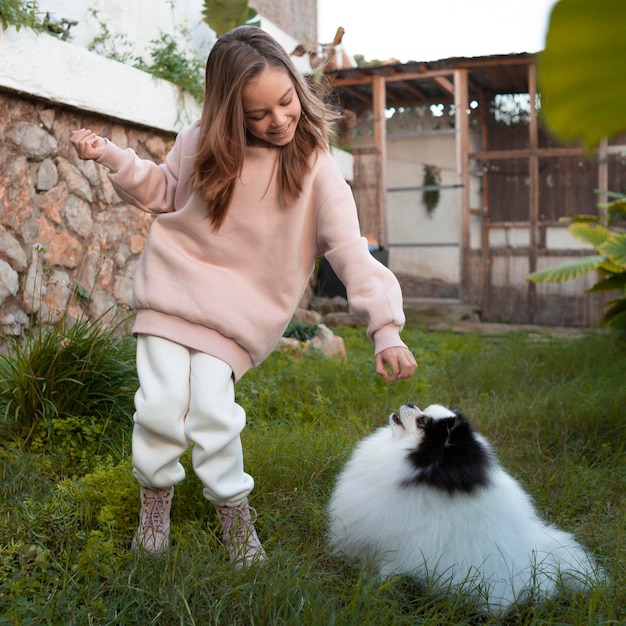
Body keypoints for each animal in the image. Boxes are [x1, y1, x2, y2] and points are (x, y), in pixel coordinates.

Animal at [326, 402, 604, 612]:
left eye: (422, 421)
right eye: (422, 411)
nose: (410, 403)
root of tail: (543, 565)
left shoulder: (402, 548)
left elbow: (386, 573)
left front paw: (372, 591)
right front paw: (364, 579)